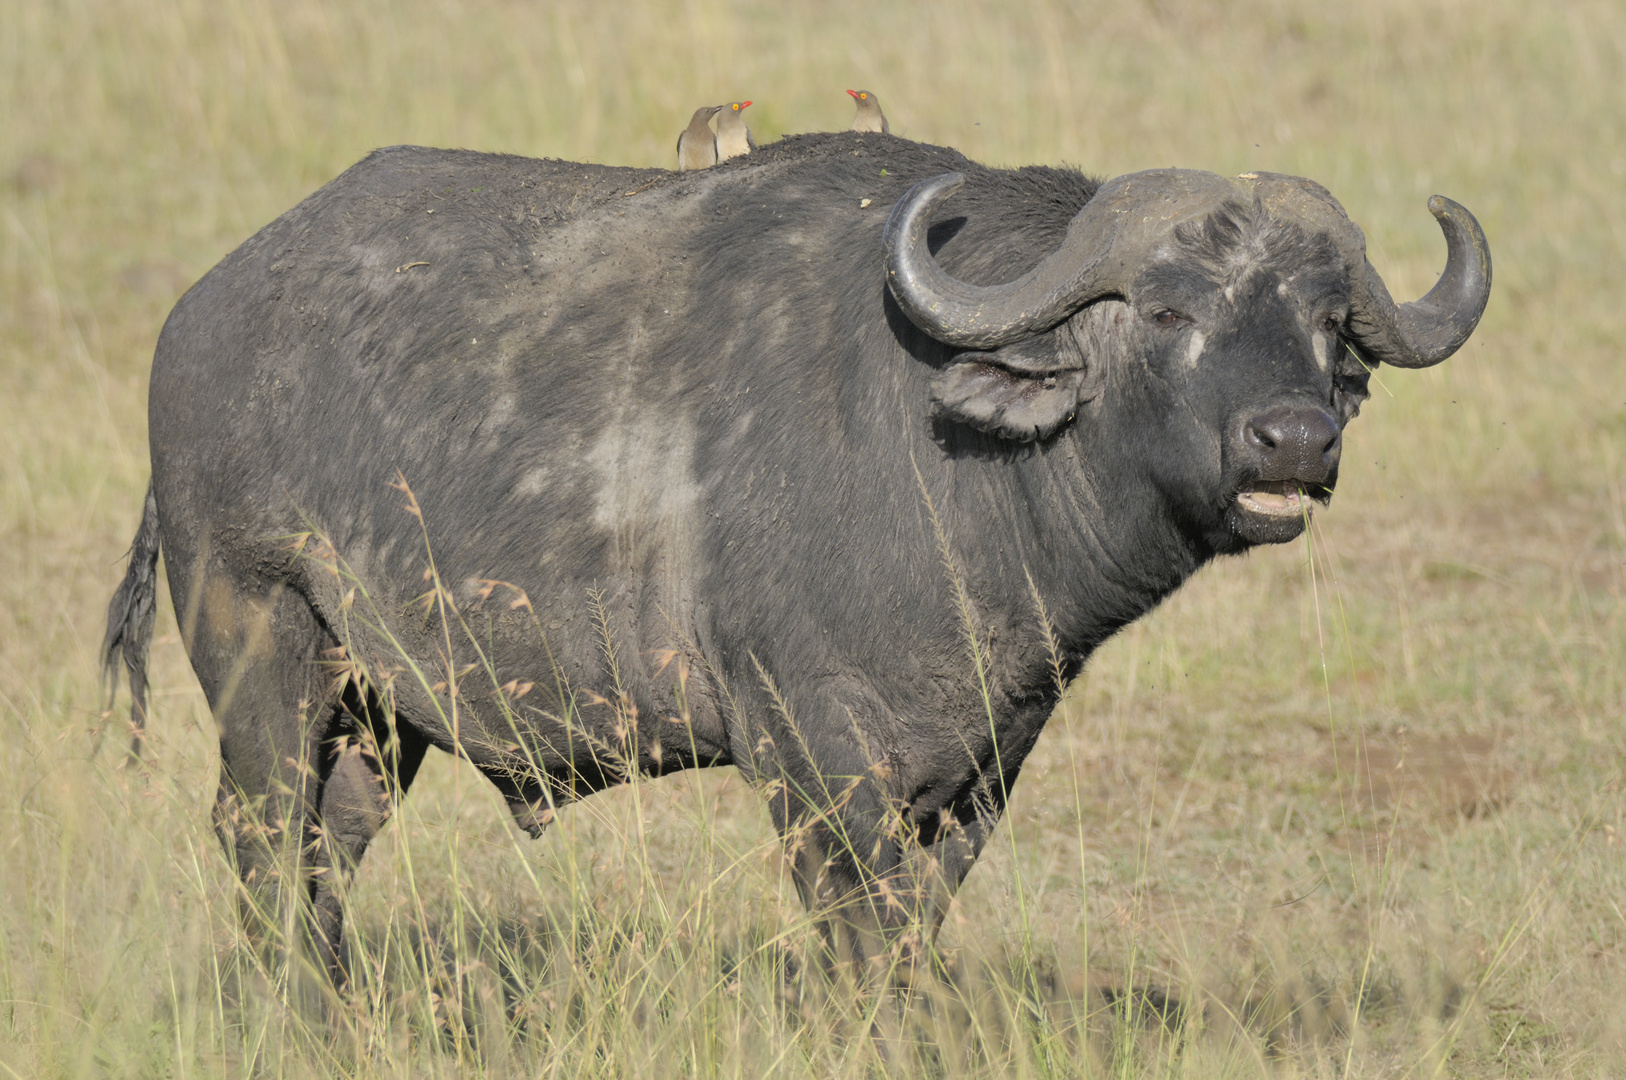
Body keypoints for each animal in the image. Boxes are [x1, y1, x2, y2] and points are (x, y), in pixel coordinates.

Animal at [104, 132, 1489, 975]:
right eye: (1164, 310)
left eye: (1330, 325)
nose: (1292, 439)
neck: (941, 459)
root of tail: (197, 317)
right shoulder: (812, 756)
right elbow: (857, 937)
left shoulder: (987, 762)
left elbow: (914, 930)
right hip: (263, 645)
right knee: (260, 840)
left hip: (380, 713)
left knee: (323, 855)